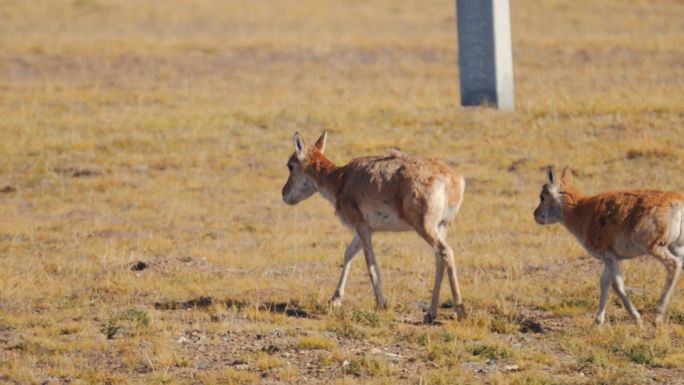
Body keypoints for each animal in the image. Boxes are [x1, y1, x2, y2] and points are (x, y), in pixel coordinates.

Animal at [280, 131, 468, 320]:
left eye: (290, 165)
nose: (284, 194)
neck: (341, 178)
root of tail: (452, 178)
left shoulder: (363, 229)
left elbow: (370, 262)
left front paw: (380, 304)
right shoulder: (365, 229)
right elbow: (348, 254)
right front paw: (335, 299)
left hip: (425, 228)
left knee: (446, 251)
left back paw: (459, 310)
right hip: (441, 227)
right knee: (439, 259)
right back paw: (431, 313)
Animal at [536, 166, 684, 326]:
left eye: (542, 196)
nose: (535, 215)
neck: (581, 210)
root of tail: (677, 202)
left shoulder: (608, 256)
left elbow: (617, 285)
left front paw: (637, 319)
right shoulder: (608, 258)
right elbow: (604, 283)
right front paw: (597, 321)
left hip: (654, 247)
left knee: (674, 265)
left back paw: (657, 316)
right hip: (676, 247)